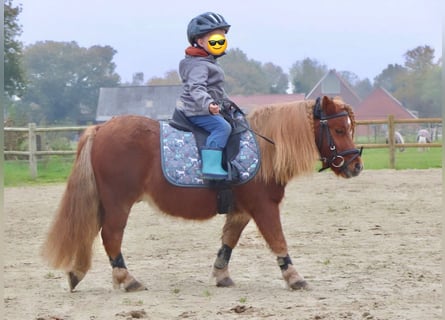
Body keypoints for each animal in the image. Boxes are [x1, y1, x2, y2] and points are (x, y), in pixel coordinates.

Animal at [41, 95, 360, 292]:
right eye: (339, 129)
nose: (356, 165)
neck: (266, 148)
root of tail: (100, 129)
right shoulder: (264, 206)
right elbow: (278, 240)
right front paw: (294, 278)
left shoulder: (241, 210)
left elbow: (228, 241)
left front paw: (221, 274)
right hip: (119, 202)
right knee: (110, 236)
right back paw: (127, 279)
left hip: (105, 202)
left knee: (92, 232)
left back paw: (77, 273)